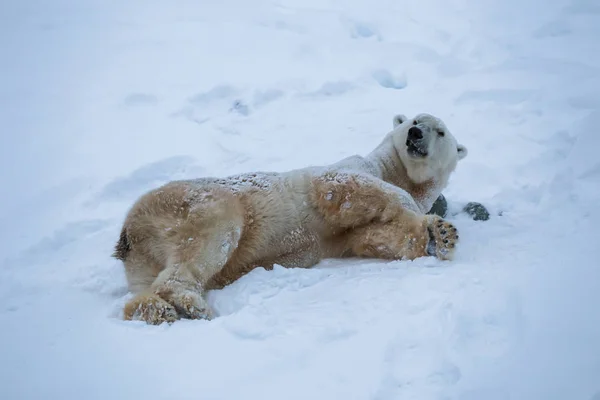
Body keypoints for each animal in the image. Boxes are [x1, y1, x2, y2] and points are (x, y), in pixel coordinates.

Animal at [113, 112, 468, 324]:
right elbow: (344, 188)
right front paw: (422, 217)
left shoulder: (348, 235)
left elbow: (374, 237)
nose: (415, 133)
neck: (397, 172)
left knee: (142, 287)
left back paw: (156, 309)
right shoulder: (346, 172)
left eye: (440, 131)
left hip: (146, 250)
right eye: (413, 119)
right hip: (192, 203)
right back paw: (191, 304)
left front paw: (441, 234)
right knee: (212, 236)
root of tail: (130, 230)